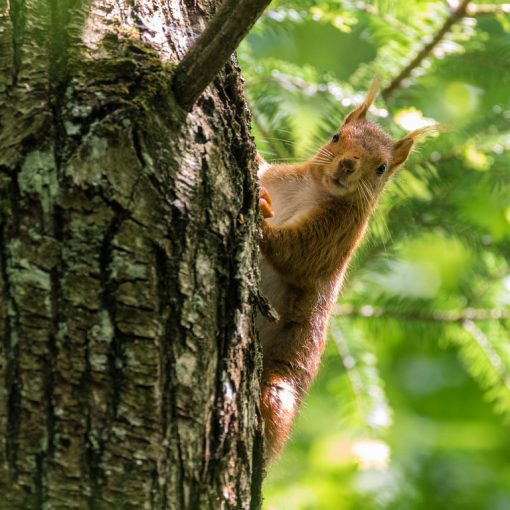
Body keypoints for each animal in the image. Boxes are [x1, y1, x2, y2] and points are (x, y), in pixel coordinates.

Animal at [255, 78, 434, 458]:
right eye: (336, 136)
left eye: (381, 168)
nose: (347, 165)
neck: (310, 189)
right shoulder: (275, 175)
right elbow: (261, 167)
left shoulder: (335, 236)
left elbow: (298, 254)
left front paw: (261, 218)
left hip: (278, 387)